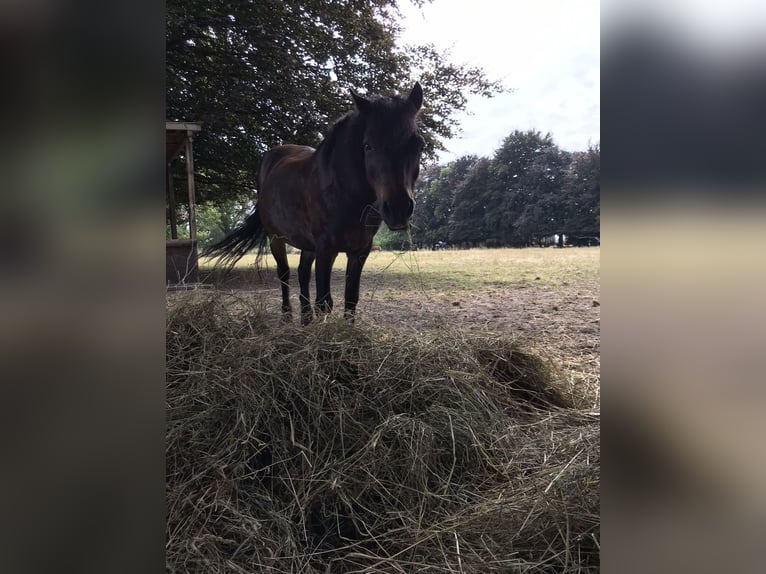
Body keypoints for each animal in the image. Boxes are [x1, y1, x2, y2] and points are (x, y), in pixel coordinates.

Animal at [204, 83, 425, 324]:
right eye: (368, 146)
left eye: (419, 145)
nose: (398, 209)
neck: (347, 195)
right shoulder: (326, 249)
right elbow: (324, 301)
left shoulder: (360, 250)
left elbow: (351, 298)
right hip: (276, 239)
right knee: (284, 273)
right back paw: (287, 316)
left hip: (307, 244)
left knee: (302, 272)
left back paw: (306, 318)